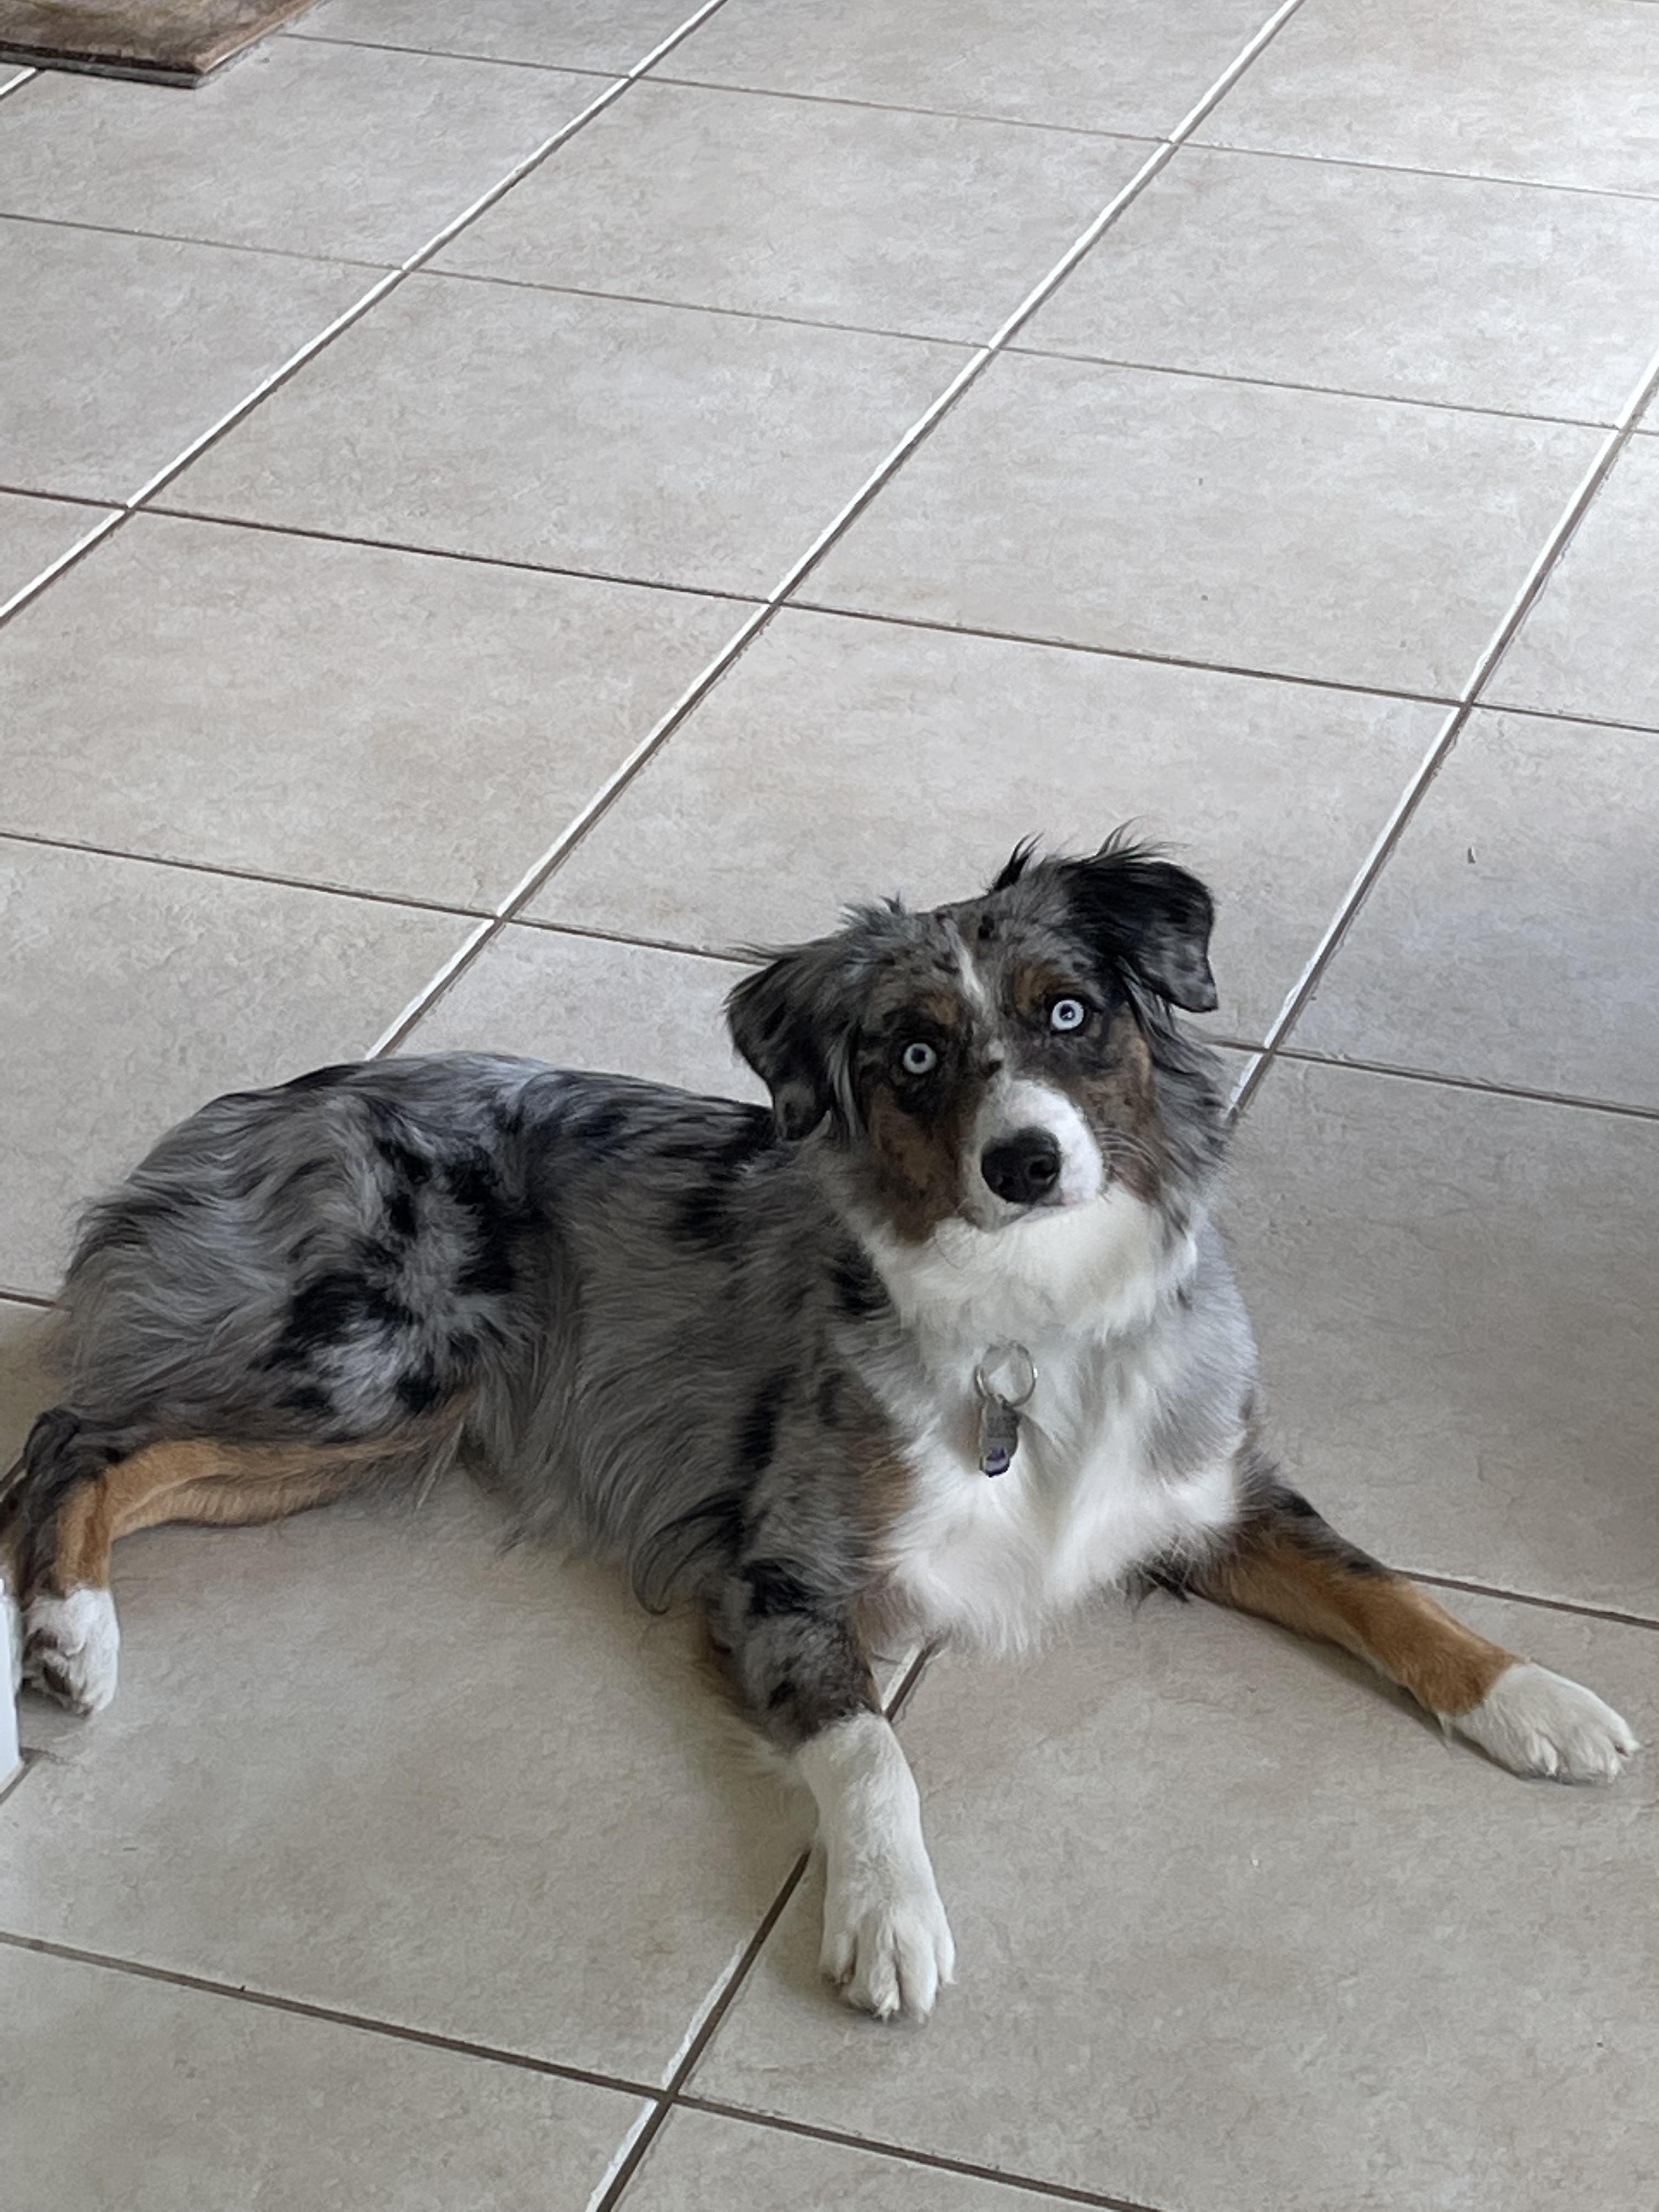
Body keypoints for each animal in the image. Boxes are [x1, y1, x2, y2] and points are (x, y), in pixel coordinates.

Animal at [2, 837, 1637, 2020]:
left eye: (1070, 1013)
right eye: (914, 1054)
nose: (1026, 1161)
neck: (1030, 1315)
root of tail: (271, 1104)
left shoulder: (1208, 1496)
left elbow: (1390, 1589)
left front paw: (1538, 1699)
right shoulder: (778, 1574)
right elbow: (869, 1750)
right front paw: (890, 1919)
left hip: (367, 1432)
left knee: (127, 1454)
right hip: (380, 1363)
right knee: (74, 1437)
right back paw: (68, 1640)